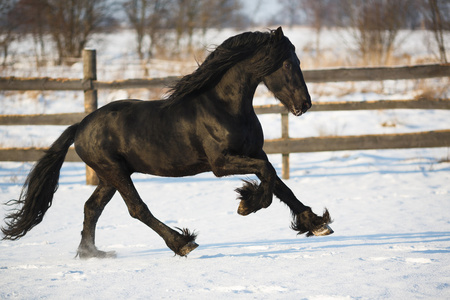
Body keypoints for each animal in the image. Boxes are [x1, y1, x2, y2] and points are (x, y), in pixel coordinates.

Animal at [1, 27, 332, 258]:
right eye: (287, 64)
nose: (305, 104)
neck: (224, 106)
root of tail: (80, 126)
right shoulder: (220, 163)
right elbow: (268, 175)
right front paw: (247, 204)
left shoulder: (254, 151)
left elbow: (279, 182)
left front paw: (316, 223)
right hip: (115, 172)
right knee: (137, 209)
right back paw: (182, 242)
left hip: (110, 176)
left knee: (91, 208)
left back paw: (92, 254)